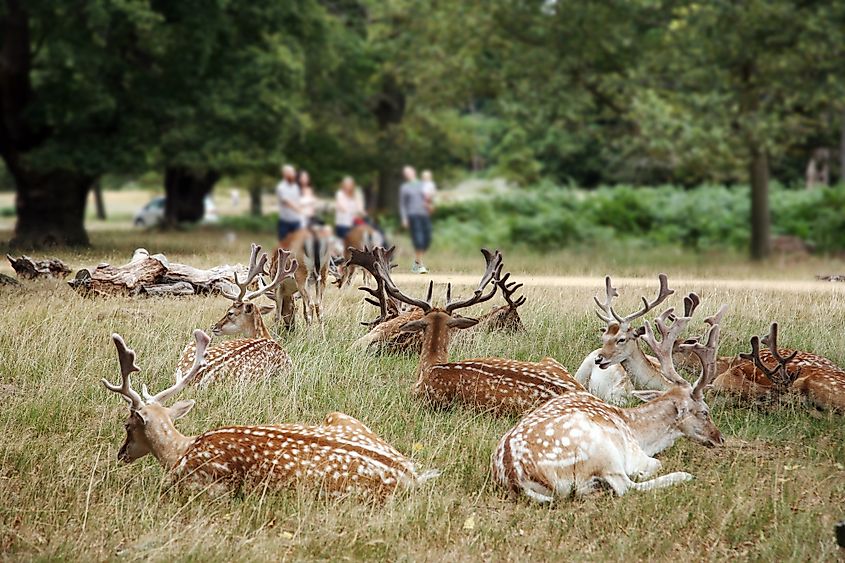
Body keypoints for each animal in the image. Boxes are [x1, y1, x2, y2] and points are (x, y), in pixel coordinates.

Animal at [102, 330, 438, 498]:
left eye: (127, 424)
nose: (121, 454)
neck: (179, 451)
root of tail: (412, 475)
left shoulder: (200, 486)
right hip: (341, 416)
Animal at [492, 300, 728, 502]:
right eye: (704, 411)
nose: (720, 438)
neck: (640, 433)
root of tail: (516, 477)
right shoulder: (634, 454)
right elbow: (654, 464)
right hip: (602, 451)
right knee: (626, 487)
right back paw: (681, 475)